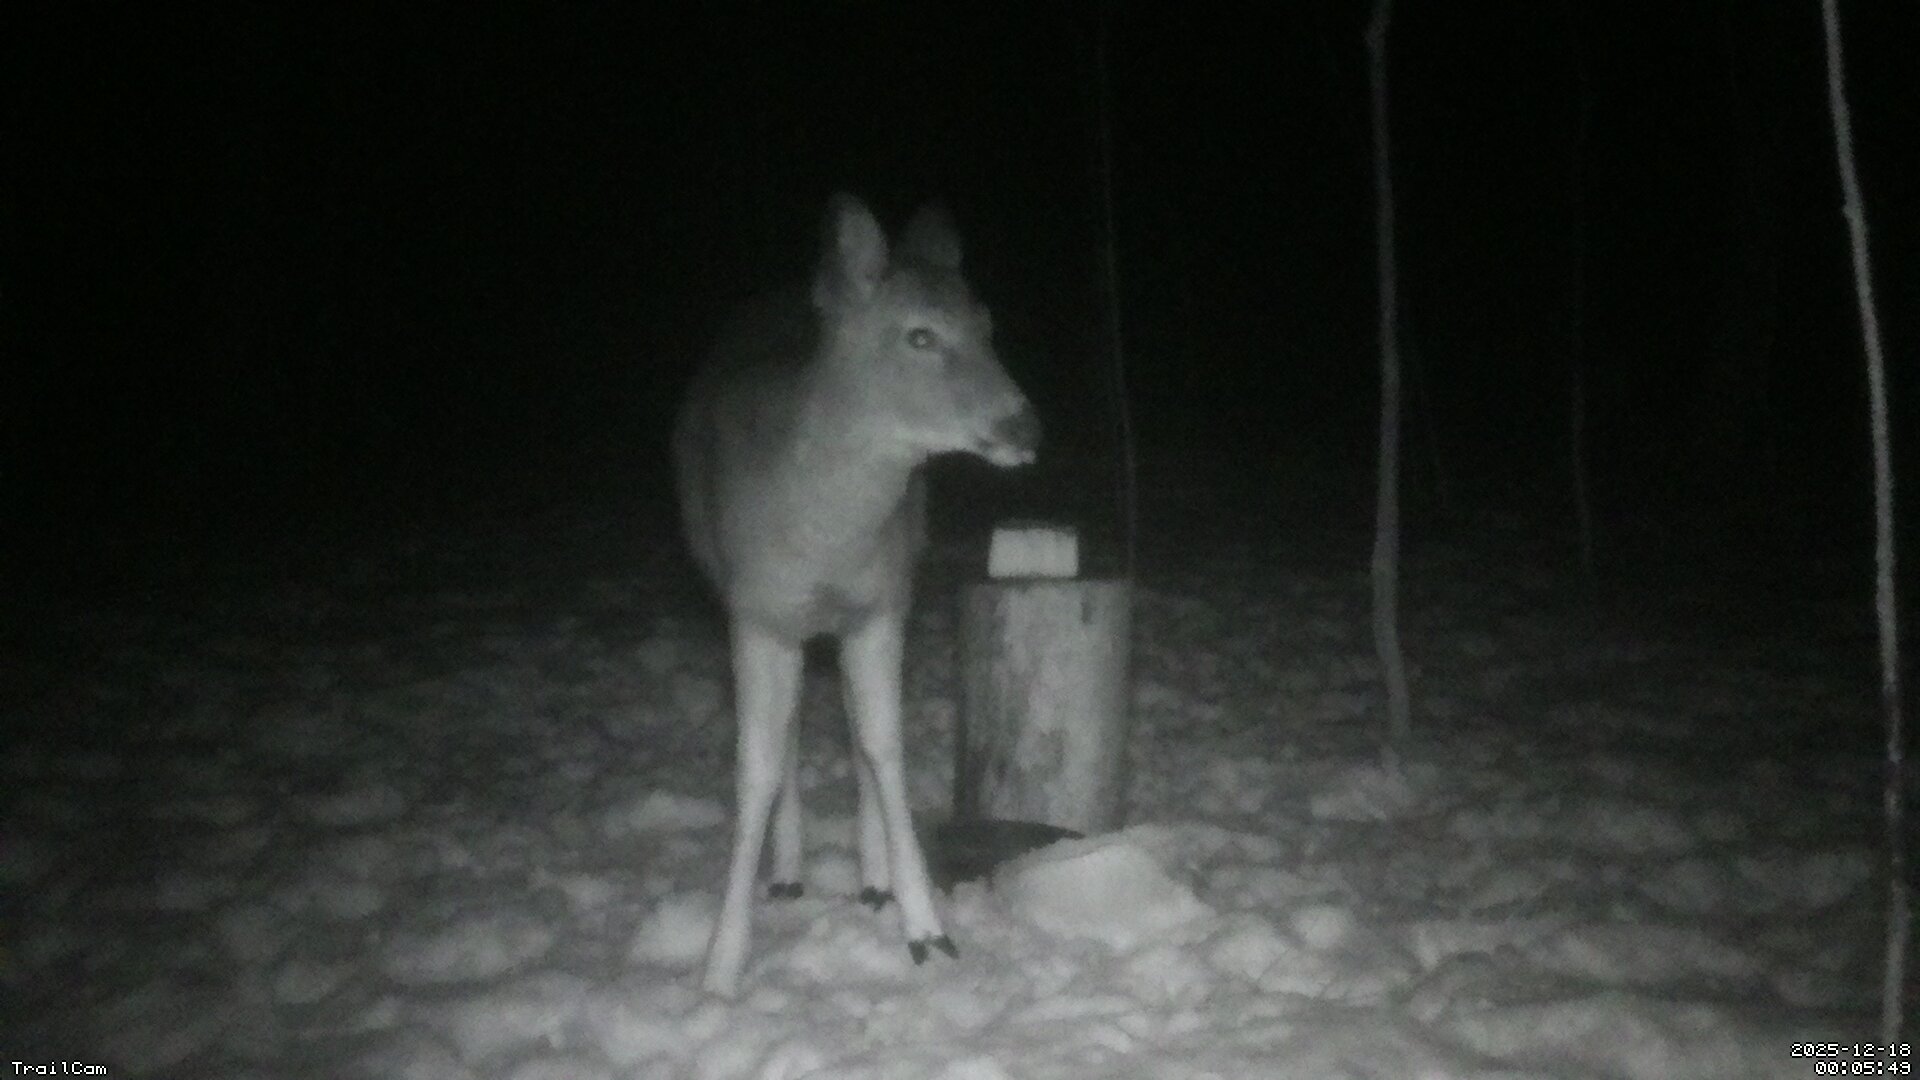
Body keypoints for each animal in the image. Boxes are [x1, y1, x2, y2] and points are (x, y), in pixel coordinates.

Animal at [671, 193, 1041, 996]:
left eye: (989, 325)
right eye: (921, 334)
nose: (1024, 424)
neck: (822, 535)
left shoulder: (881, 603)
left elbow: (883, 746)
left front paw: (925, 925)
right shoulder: (754, 611)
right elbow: (756, 767)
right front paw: (721, 965)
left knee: (846, 713)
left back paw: (870, 878)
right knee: (793, 730)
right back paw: (786, 874)